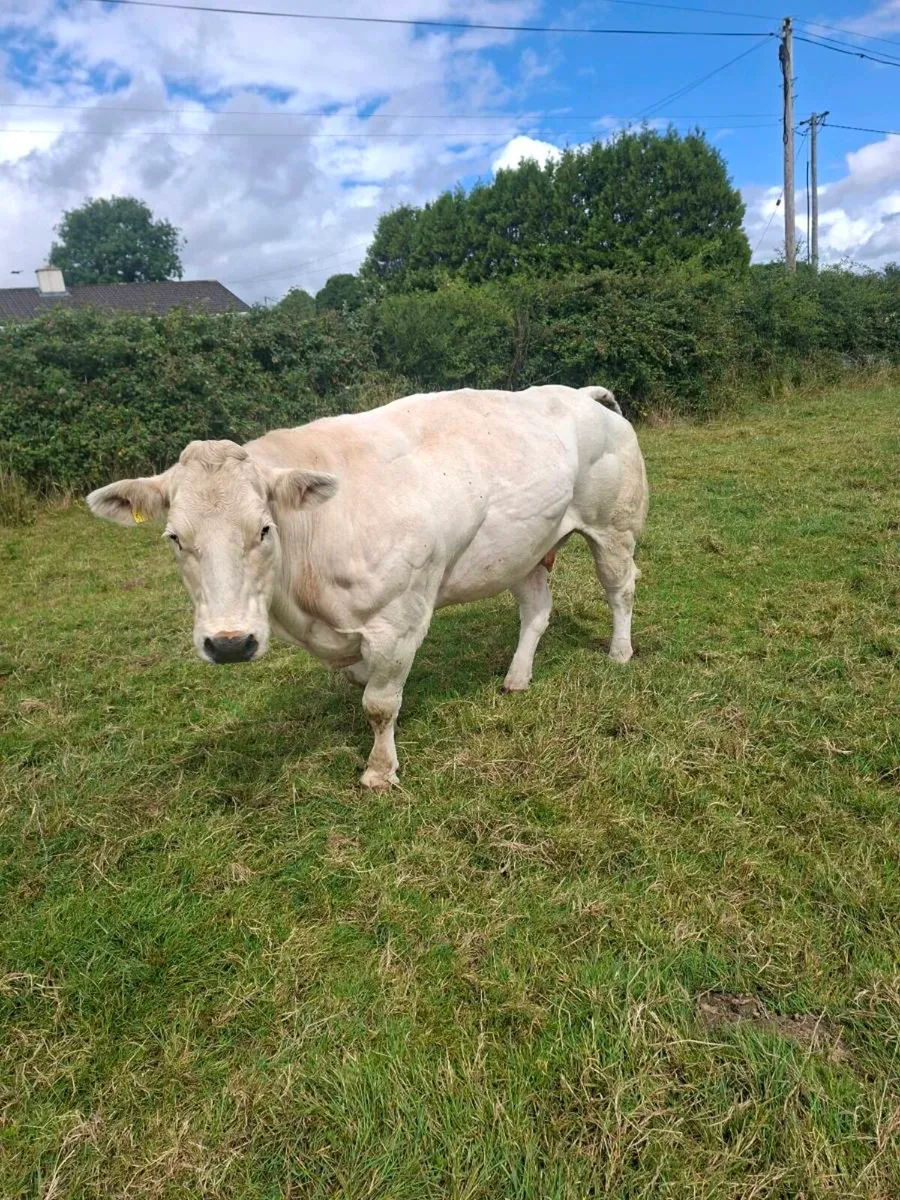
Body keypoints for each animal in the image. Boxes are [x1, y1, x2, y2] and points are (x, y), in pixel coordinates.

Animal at [87, 385, 648, 790]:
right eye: (175, 538)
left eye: (264, 529)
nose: (229, 643)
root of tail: (580, 394)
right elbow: (360, 683)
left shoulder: (398, 621)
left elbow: (380, 704)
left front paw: (380, 772)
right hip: (525, 548)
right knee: (535, 610)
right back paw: (517, 677)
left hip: (613, 528)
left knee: (620, 589)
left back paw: (620, 651)